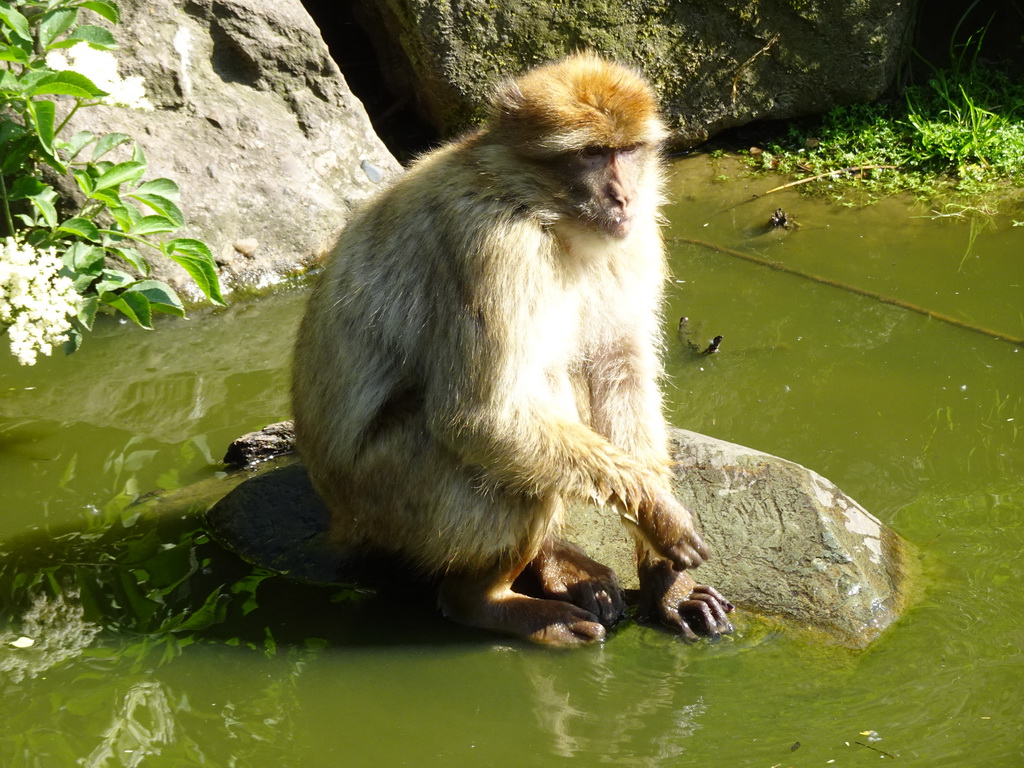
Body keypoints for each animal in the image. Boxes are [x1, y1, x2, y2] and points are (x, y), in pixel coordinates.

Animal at [292, 51, 733, 647]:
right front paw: (657, 515)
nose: (622, 196)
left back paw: (551, 561)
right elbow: (481, 415)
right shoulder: (496, 245)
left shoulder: (635, 235)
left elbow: (616, 366)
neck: (538, 208)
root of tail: (338, 514)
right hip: (390, 503)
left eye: (626, 151)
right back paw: (486, 601)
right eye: (591, 154)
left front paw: (666, 579)